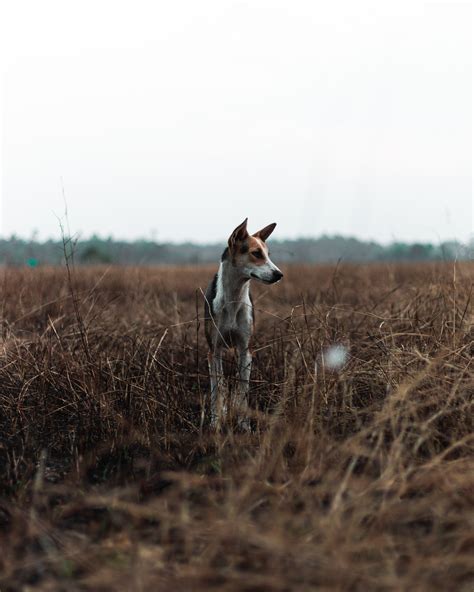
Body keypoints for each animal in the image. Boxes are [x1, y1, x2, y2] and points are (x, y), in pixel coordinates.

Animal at [203, 219, 282, 430]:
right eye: (256, 253)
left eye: (268, 254)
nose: (279, 274)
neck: (233, 299)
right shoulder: (214, 350)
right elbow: (217, 388)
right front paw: (216, 422)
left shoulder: (245, 350)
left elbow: (242, 389)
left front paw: (244, 425)